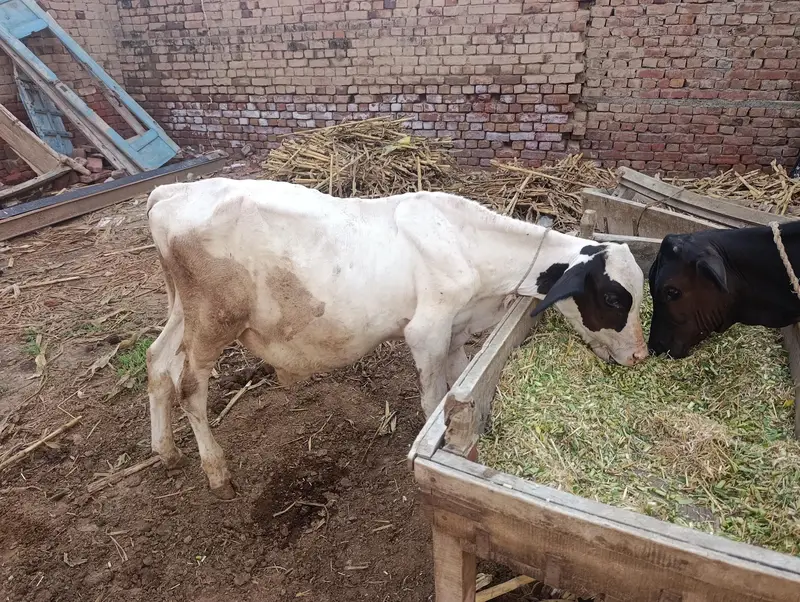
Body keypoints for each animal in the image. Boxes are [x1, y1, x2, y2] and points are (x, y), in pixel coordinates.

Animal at [145, 177, 647, 498]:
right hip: (214, 320)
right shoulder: (427, 330)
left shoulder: (458, 329)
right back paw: (216, 471)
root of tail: (171, 192)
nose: (641, 356)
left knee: (157, 363)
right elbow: (432, 398)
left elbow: (461, 379)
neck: (469, 243)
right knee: (190, 387)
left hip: (183, 312)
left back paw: (166, 450)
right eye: (612, 297)